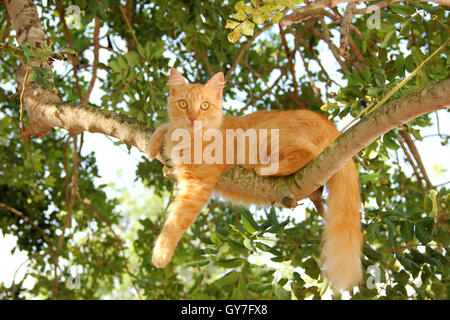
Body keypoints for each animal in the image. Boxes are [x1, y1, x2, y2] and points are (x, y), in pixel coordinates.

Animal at [148, 69, 362, 292]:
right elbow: (165, 127)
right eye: (183, 104)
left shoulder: (197, 185)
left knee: (308, 153)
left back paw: (265, 168)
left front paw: (161, 252)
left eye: (204, 106)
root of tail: (334, 128)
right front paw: (154, 143)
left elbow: (175, 222)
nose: (192, 118)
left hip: (264, 137)